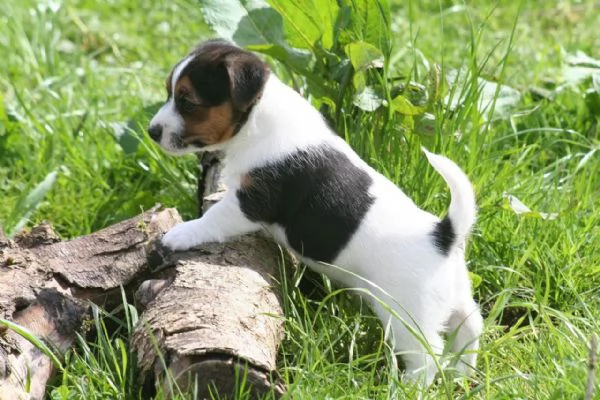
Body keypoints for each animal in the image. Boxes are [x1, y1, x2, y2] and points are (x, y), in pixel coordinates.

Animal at [148, 39, 486, 386]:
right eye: (169, 92)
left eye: (188, 102)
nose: (152, 131)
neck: (259, 119)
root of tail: (444, 234)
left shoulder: (252, 201)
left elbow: (213, 219)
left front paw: (180, 234)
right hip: (457, 298)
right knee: (471, 328)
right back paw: (463, 374)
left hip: (406, 314)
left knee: (427, 356)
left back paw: (408, 386)